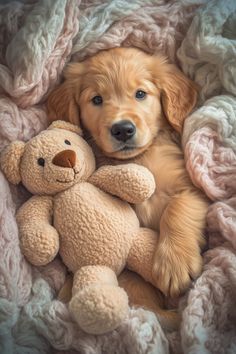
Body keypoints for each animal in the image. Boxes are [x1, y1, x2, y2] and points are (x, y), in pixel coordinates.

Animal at [47, 45, 208, 298]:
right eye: (97, 99)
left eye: (140, 94)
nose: (122, 129)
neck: (138, 160)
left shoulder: (191, 187)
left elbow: (177, 208)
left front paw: (175, 264)